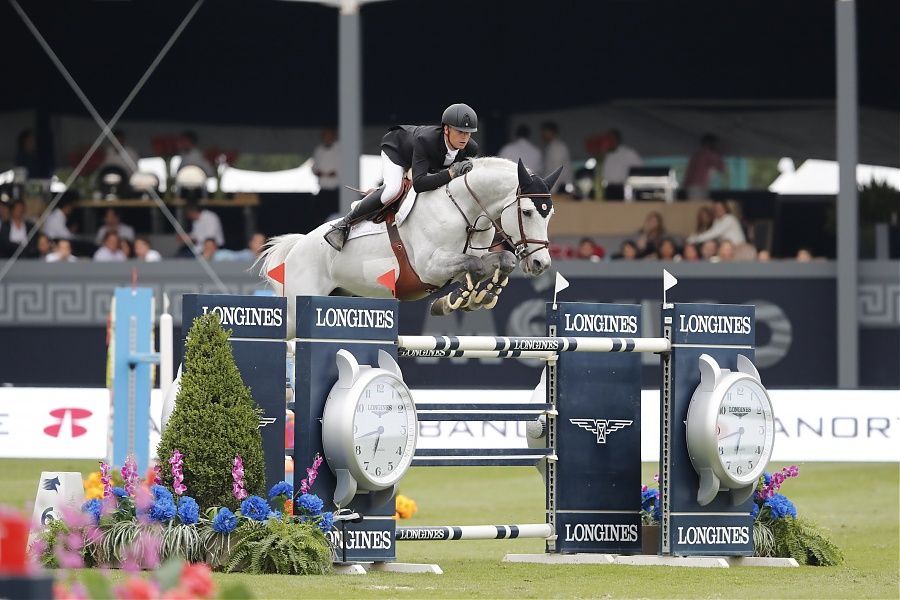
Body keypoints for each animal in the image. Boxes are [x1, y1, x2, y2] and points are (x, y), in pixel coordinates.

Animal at [256, 157, 560, 336]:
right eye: (528, 212)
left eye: (550, 215)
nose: (540, 264)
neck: (465, 210)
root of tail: (297, 246)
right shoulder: (429, 267)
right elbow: (474, 265)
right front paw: (458, 300)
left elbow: (499, 262)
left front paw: (472, 299)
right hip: (296, 311)